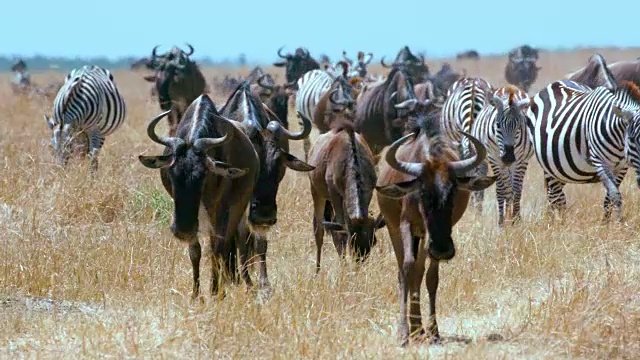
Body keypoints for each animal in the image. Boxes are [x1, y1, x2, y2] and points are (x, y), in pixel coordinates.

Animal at [472, 85, 532, 225]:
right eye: (498, 125)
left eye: (519, 127)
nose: (508, 157)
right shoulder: (494, 159)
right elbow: (501, 190)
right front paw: (502, 222)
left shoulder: (521, 160)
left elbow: (517, 190)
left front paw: (516, 219)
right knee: (503, 189)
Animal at [528, 53, 640, 222]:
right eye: (632, 139)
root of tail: (556, 83)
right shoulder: (600, 161)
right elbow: (615, 194)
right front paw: (619, 223)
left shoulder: (622, 168)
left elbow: (609, 197)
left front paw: (606, 223)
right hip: (550, 166)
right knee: (555, 197)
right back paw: (558, 223)